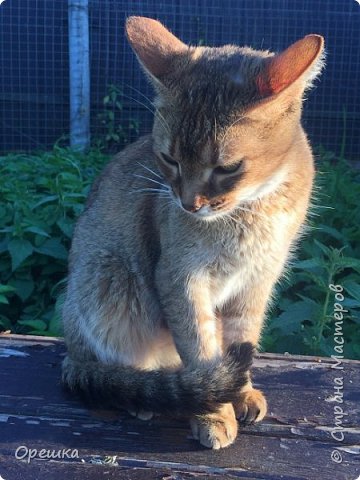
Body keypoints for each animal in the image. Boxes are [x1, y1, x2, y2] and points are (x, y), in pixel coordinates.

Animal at [60, 15, 324, 450]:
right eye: (169, 159)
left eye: (228, 168)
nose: (188, 203)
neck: (250, 212)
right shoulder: (181, 279)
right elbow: (201, 348)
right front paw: (213, 413)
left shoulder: (257, 281)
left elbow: (239, 339)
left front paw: (240, 392)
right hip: (108, 279)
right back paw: (144, 393)